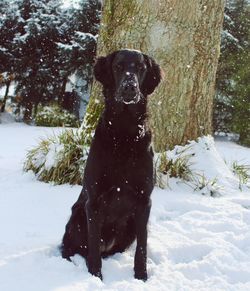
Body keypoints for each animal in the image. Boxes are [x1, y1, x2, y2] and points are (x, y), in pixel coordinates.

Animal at [61, 49, 161, 282]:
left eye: (141, 68)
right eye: (118, 66)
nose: (130, 87)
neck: (124, 133)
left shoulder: (144, 201)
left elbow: (142, 246)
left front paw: (141, 277)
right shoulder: (94, 201)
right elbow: (93, 245)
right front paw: (95, 276)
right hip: (77, 216)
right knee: (71, 247)